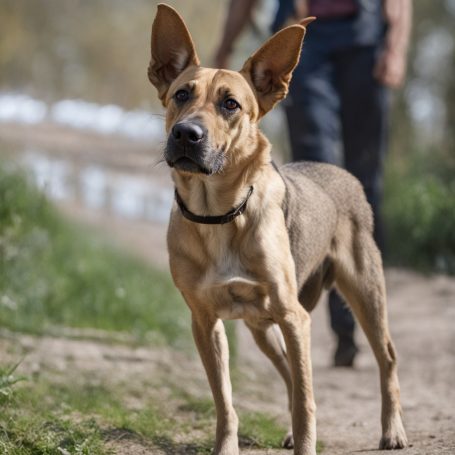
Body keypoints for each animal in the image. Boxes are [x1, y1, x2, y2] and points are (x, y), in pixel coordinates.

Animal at [149, 4, 410, 455]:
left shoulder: (294, 318)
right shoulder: (205, 322)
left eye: (231, 104)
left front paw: (306, 441)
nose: (186, 133)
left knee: (387, 358)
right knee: (288, 369)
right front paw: (227, 446)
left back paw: (392, 430)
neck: (220, 214)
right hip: (261, 328)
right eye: (182, 95)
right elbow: (225, 401)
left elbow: (306, 401)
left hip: (364, 292)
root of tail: (341, 173)